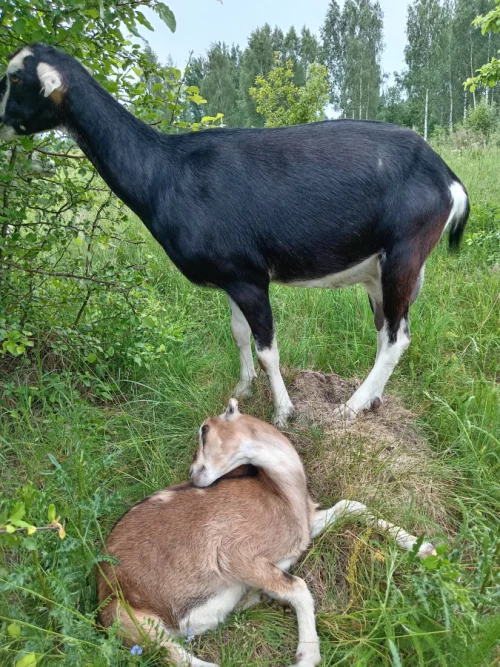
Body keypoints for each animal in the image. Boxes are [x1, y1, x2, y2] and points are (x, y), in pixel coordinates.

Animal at [0, 44, 470, 426]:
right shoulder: (231, 275)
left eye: (16, 78)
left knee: (395, 338)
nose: (0, 121)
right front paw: (242, 389)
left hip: (404, 253)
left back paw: (349, 407)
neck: (166, 172)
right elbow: (239, 333)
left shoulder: (249, 276)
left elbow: (267, 347)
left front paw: (283, 412)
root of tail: (446, 176)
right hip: (378, 269)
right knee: (386, 329)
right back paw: (370, 400)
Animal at [96, 398, 435, 666]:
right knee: (176, 656)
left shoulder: (305, 528)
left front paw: (424, 547)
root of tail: (100, 589)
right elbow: (299, 586)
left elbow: (351, 505)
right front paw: (306, 657)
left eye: (204, 430)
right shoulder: (233, 554)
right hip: (129, 620)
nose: (192, 474)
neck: (281, 493)